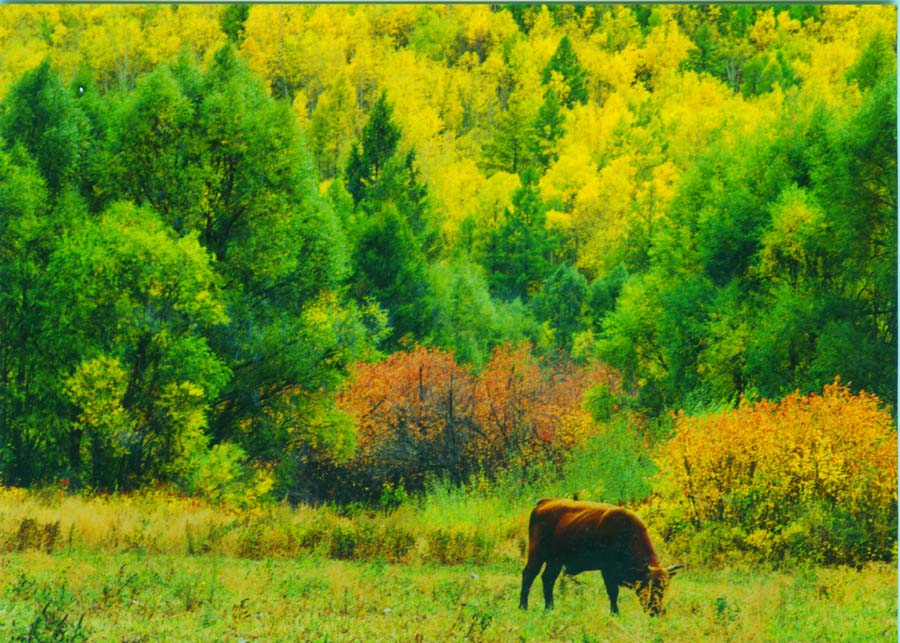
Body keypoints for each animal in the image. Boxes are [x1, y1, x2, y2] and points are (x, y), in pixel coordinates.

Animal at [520, 500, 684, 616]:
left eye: (665, 587)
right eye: (649, 586)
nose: (657, 611)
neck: (626, 534)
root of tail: (544, 503)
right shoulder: (607, 570)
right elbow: (613, 592)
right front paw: (615, 613)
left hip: (555, 562)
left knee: (547, 579)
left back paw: (549, 608)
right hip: (537, 555)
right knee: (529, 575)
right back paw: (523, 607)